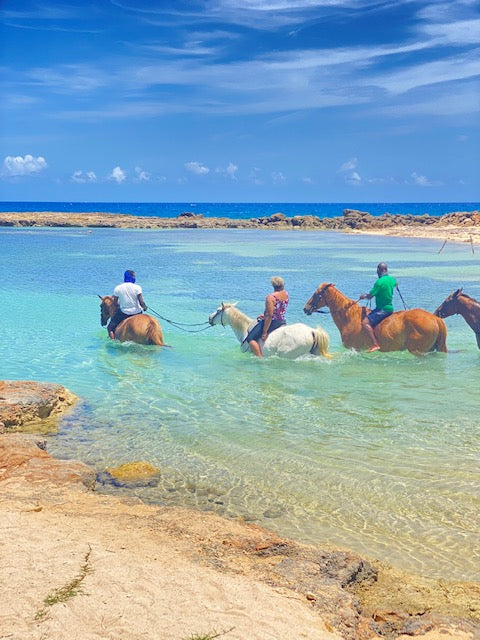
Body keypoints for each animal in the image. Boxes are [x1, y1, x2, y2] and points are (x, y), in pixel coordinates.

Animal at [304, 284, 446, 356]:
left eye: (317, 294)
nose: (305, 308)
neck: (350, 318)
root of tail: (435, 318)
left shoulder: (355, 348)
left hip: (417, 350)